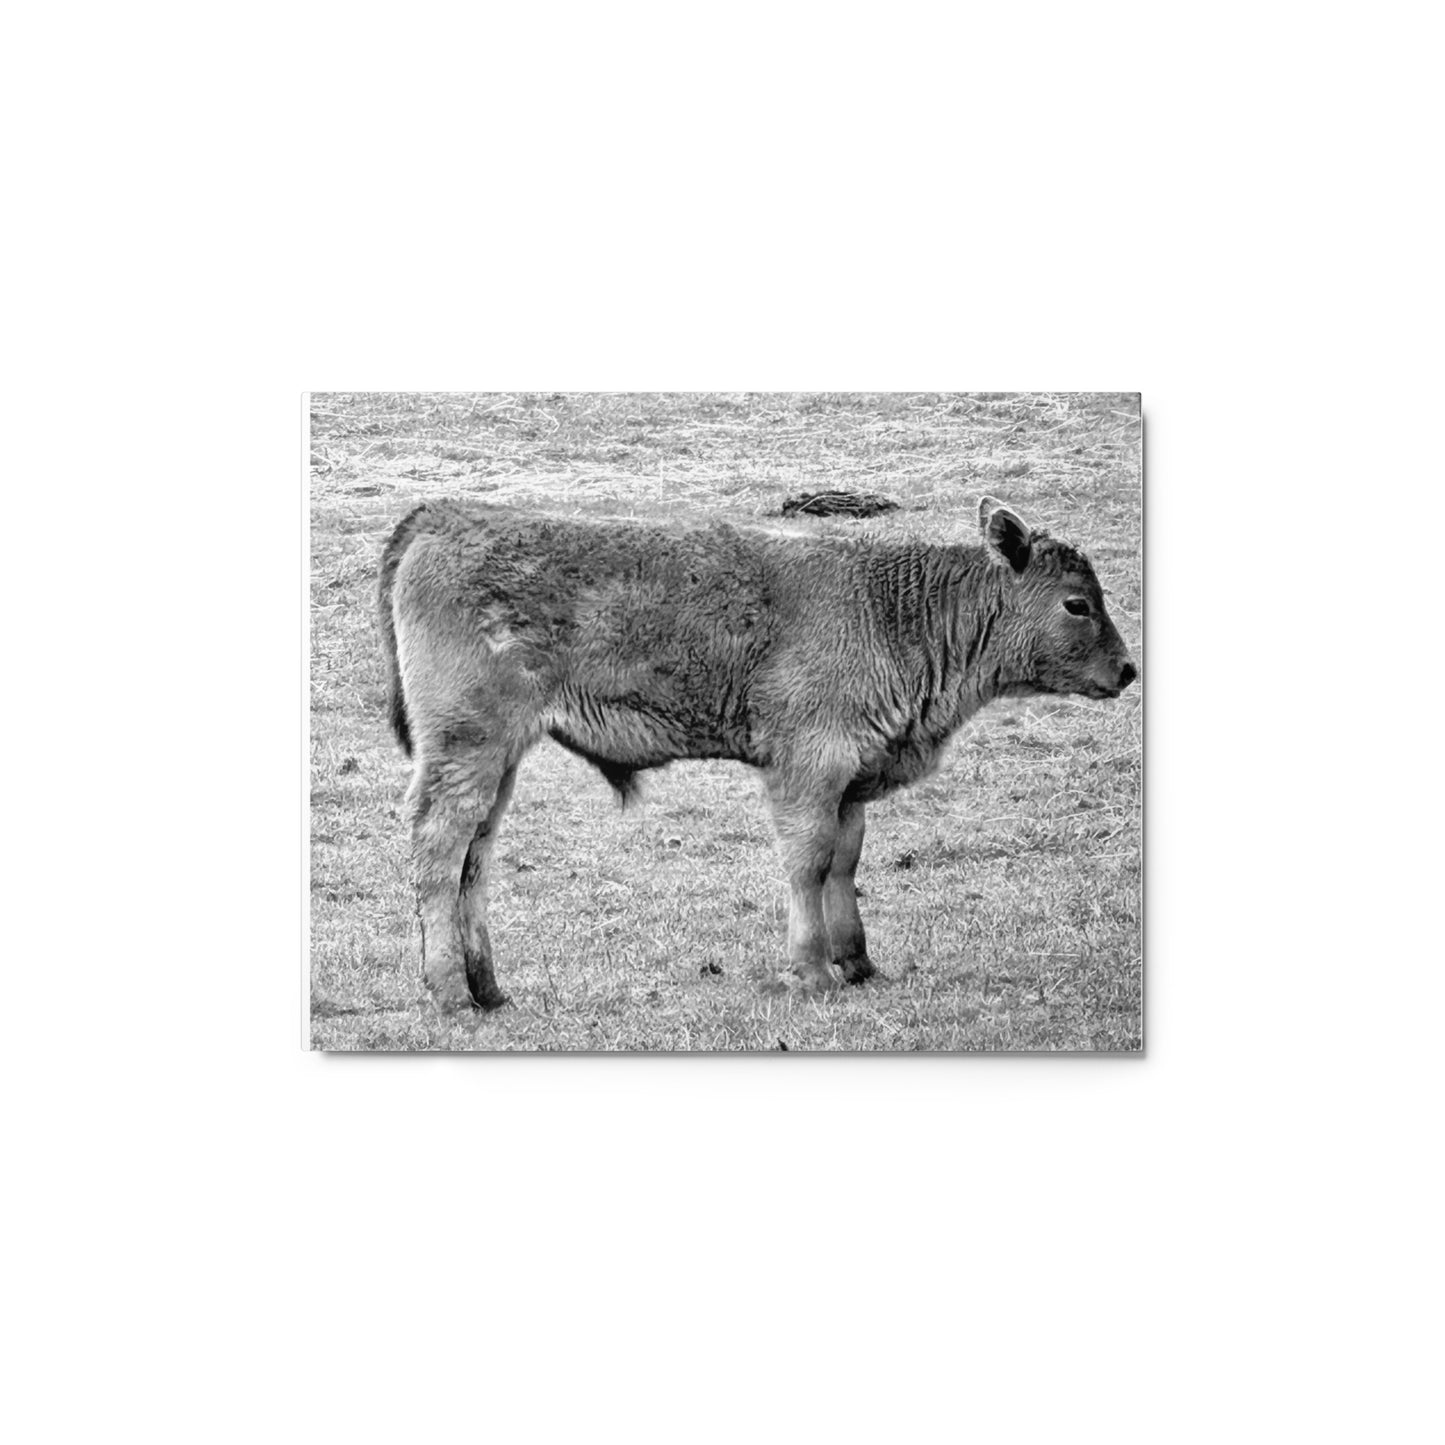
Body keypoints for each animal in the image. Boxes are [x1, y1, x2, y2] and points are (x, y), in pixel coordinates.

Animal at [378, 496, 1137, 1014]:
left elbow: (843, 862)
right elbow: (808, 863)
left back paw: (489, 988)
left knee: (474, 857)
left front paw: (858, 963)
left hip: (498, 760)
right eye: (1077, 603)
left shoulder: (849, 781)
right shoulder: (807, 769)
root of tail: (443, 514)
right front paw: (811, 971)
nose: (1129, 669)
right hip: (467, 749)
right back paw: (450, 992)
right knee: (438, 848)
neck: (888, 608)